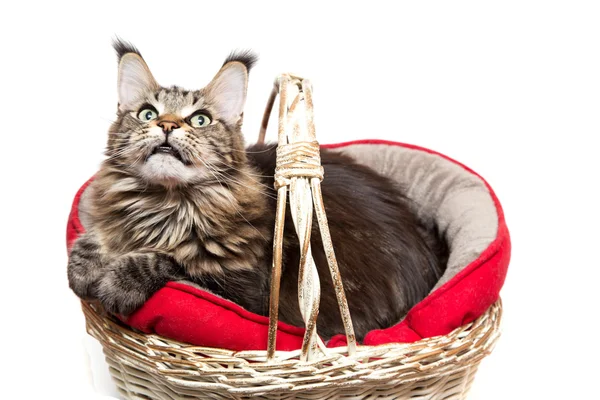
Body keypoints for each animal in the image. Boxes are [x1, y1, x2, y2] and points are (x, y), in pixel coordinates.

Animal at [68, 39, 448, 340]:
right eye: (148, 114)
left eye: (200, 120)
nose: (167, 125)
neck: (166, 203)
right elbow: (96, 236)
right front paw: (83, 267)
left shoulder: (244, 290)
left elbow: (173, 261)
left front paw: (119, 282)